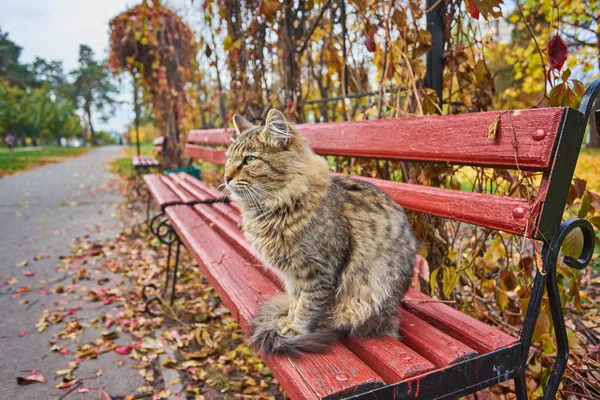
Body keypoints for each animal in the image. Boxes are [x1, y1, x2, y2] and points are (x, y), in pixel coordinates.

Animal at [223, 109, 414, 356]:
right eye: (228, 159)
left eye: (249, 160)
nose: (226, 177)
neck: (276, 207)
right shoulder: (292, 275)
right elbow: (295, 301)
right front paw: (288, 320)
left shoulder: (319, 272)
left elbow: (308, 306)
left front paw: (295, 329)